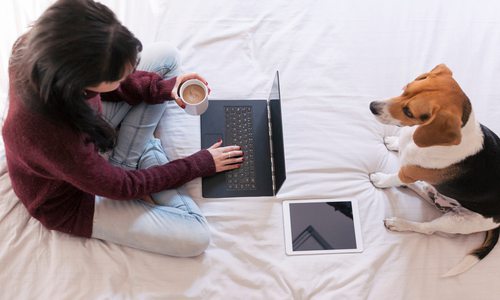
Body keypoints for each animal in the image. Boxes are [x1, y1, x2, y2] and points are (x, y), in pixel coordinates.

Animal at [368, 63, 500, 276]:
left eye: (409, 112)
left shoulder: (407, 172)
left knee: (426, 228)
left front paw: (380, 180)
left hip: (459, 222)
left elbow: (392, 177)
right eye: (405, 89)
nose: (372, 106)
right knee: (425, 192)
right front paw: (394, 142)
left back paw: (399, 223)